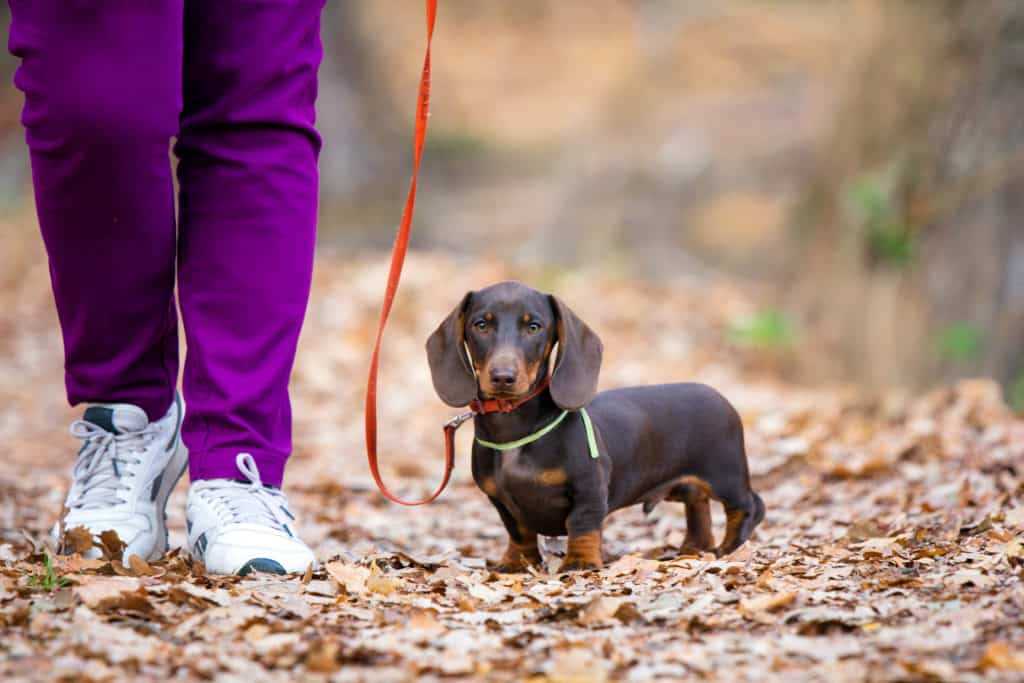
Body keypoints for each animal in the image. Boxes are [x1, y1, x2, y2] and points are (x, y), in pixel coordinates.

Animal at [421, 280, 761, 573]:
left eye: (534, 327)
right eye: (481, 324)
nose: (503, 377)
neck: (514, 429)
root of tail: (719, 396)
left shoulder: (588, 487)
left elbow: (582, 525)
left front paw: (580, 562)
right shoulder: (500, 499)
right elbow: (518, 531)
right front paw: (517, 562)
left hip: (726, 476)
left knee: (749, 506)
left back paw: (729, 549)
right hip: (687, 486)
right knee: (698, 505)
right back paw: (694, 548)